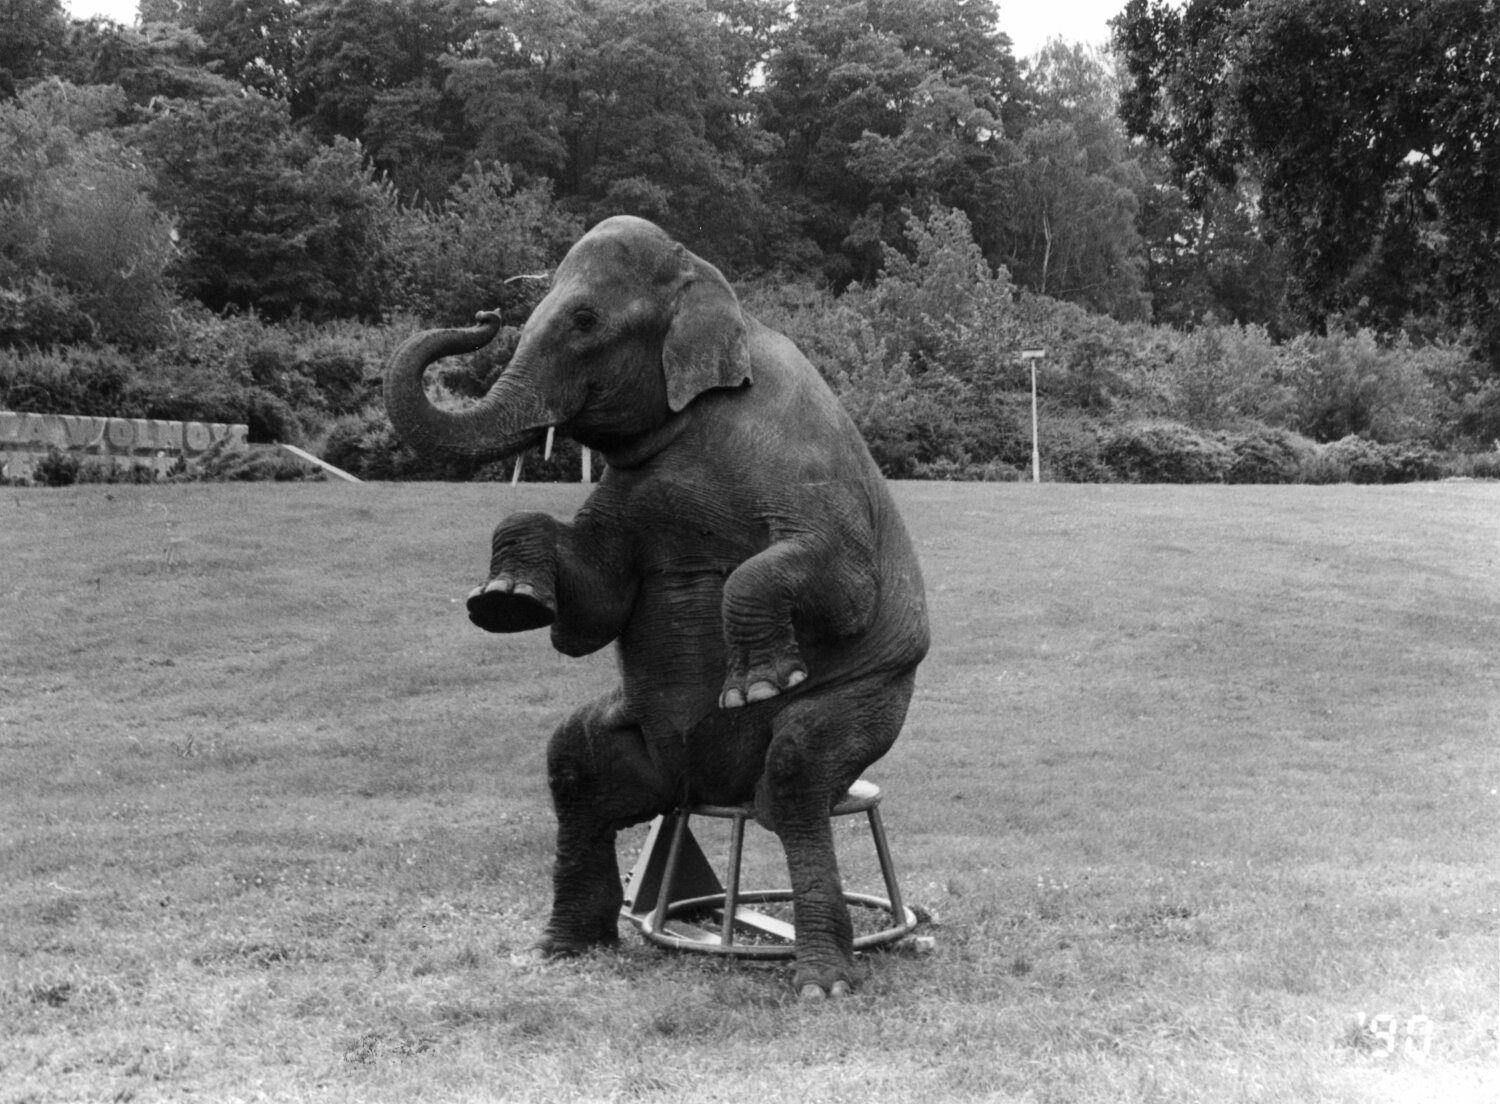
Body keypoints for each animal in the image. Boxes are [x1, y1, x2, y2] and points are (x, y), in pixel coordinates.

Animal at [387, 217, 924, 1002]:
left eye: (584, 321)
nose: (484, 314)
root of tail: (706, 790)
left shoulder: (804, 457)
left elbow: (843, 588)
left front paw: (758, 685)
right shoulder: (627, 491)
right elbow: (594, 608)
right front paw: (505, 604)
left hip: (873, 698)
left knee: (795, 778)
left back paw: (822, 982)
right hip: (633, 743)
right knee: (573, 766)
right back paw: (564, 947)